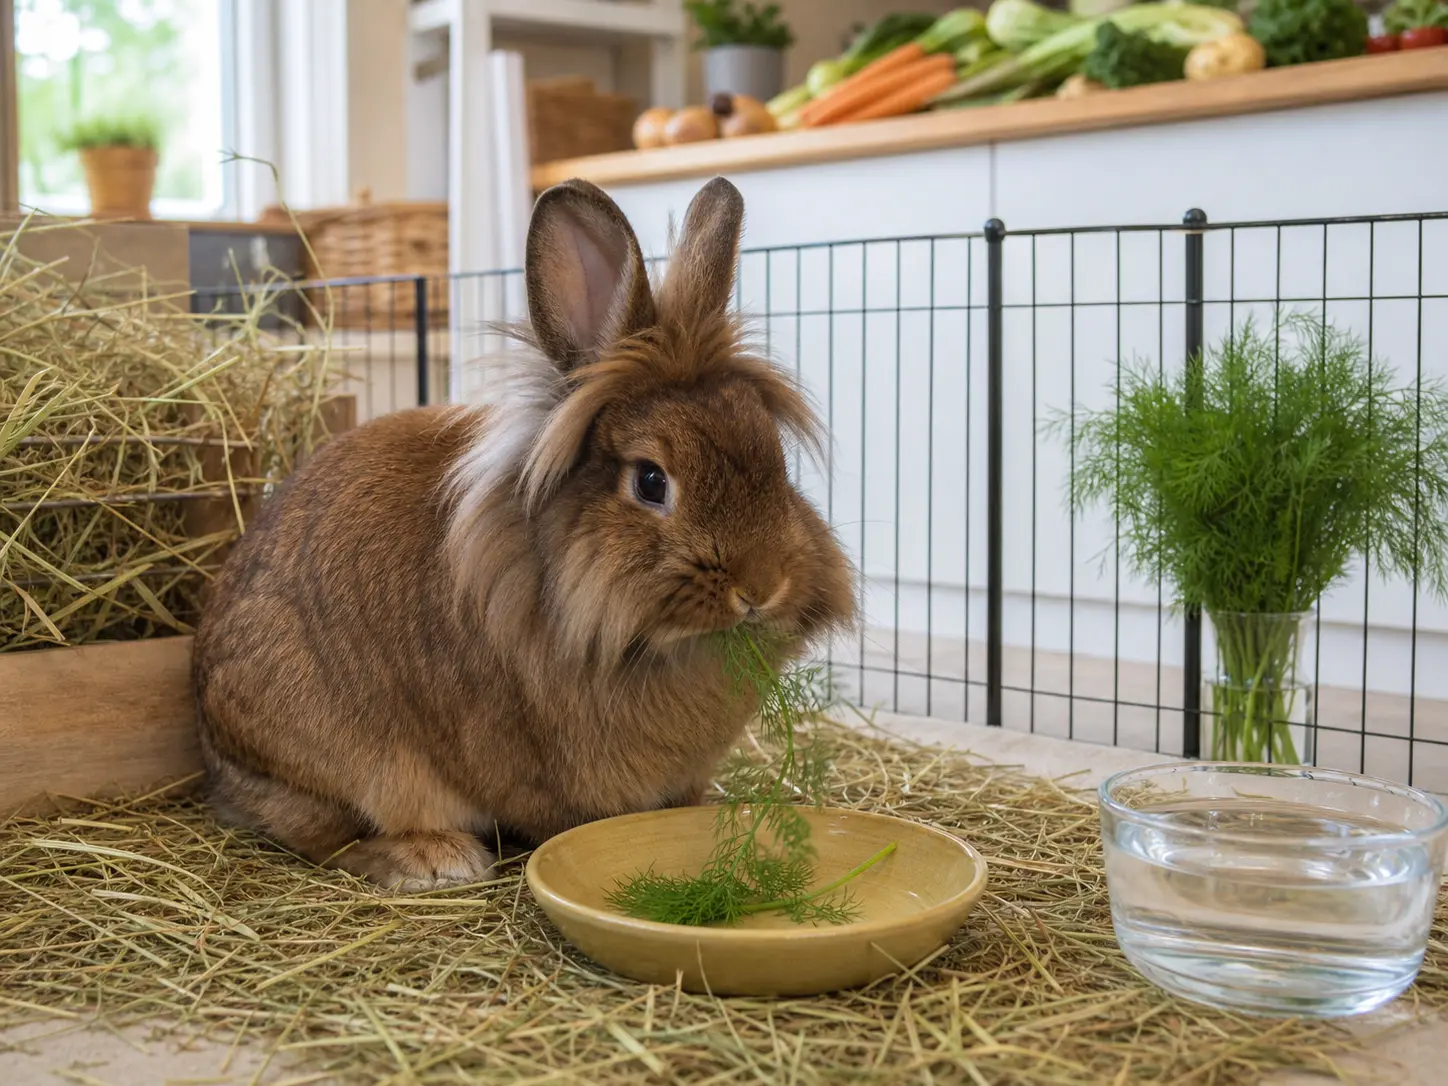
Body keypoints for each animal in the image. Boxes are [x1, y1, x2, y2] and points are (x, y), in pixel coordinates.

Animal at [191, 175, 857, 892]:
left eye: (777, 460)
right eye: (651, 482)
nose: (762, 587)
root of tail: (214, 756)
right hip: (336, 756)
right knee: (330, 836)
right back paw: (434, 859)